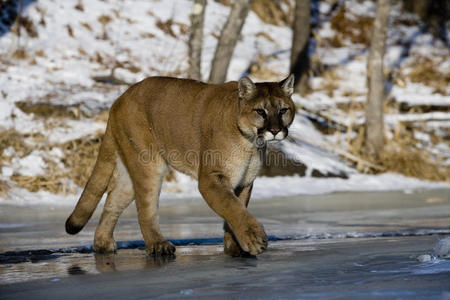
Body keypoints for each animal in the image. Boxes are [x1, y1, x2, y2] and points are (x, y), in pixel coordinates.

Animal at [64, 74, 296, 255]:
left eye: (283, 110)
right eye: (261, 111)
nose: (275, 130)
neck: (250, 143)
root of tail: (119, 99)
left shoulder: (244, 181)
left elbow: (237, 208)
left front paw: (235, 247)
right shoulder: (211, 179)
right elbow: (232, 207)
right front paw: (254, 239)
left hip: (129, 169)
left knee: (113, 199)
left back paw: (103, 244)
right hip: (149, 164)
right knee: (145, 209)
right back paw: (158, 245)